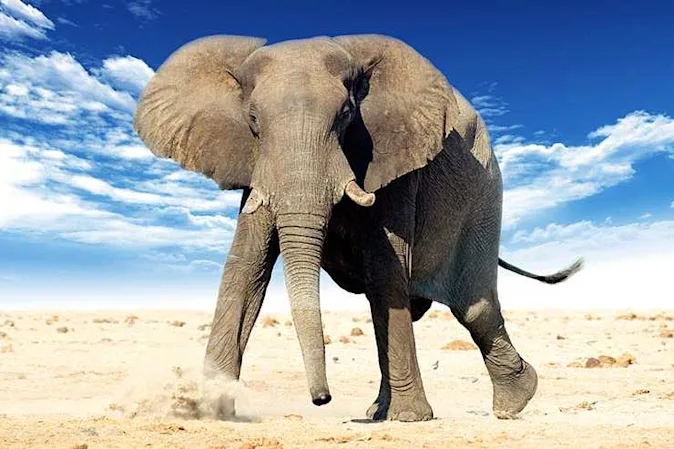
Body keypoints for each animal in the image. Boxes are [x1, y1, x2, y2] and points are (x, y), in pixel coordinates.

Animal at [133, 34, 583, 422]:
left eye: (347, 114)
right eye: (253, 120)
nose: (321, 399)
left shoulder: (395, 155)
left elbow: (386, 268)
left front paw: (411, 419)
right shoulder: (256, 168)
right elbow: (244, 271)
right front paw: (209, 411)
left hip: (485, 194)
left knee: (475, 308)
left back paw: (513, 402)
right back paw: (380, 412)